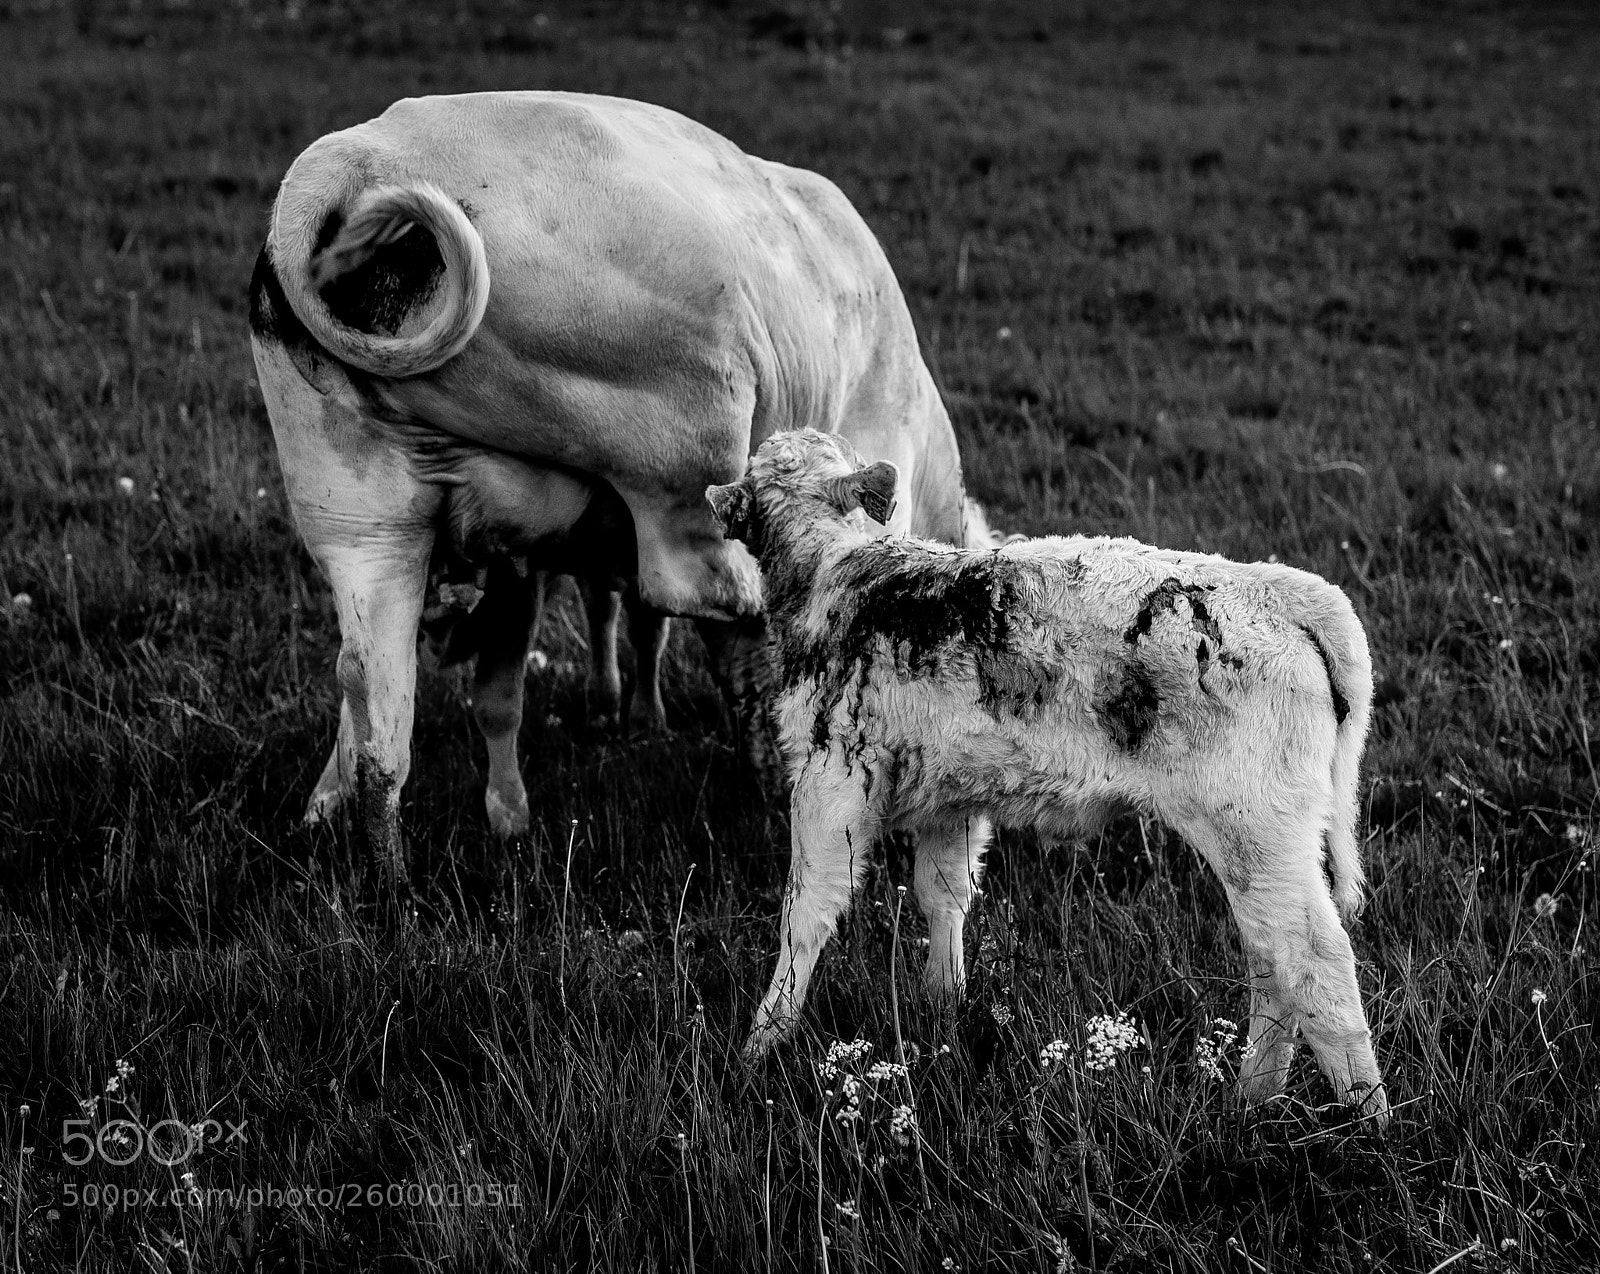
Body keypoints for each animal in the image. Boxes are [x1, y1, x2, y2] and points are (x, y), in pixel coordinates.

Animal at [248, 91, 977, 887]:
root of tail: (357, 160)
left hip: (362, 519)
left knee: (374, 691)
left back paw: (388, 874)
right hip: (684, 466)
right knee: (724, 606)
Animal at [710, 430, 1389, 1128]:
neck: (834, 573)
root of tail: (1276, 586)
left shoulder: (829, 781)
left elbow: (805, 913)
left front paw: (759, 1047)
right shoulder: (952, 796)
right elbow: (942, 894)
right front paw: (943, 1006)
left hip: (1254, 828)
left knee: (1314, 958)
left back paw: (1368, 1118)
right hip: (1263, 847)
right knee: (1270, 958)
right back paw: (1252, 1097)